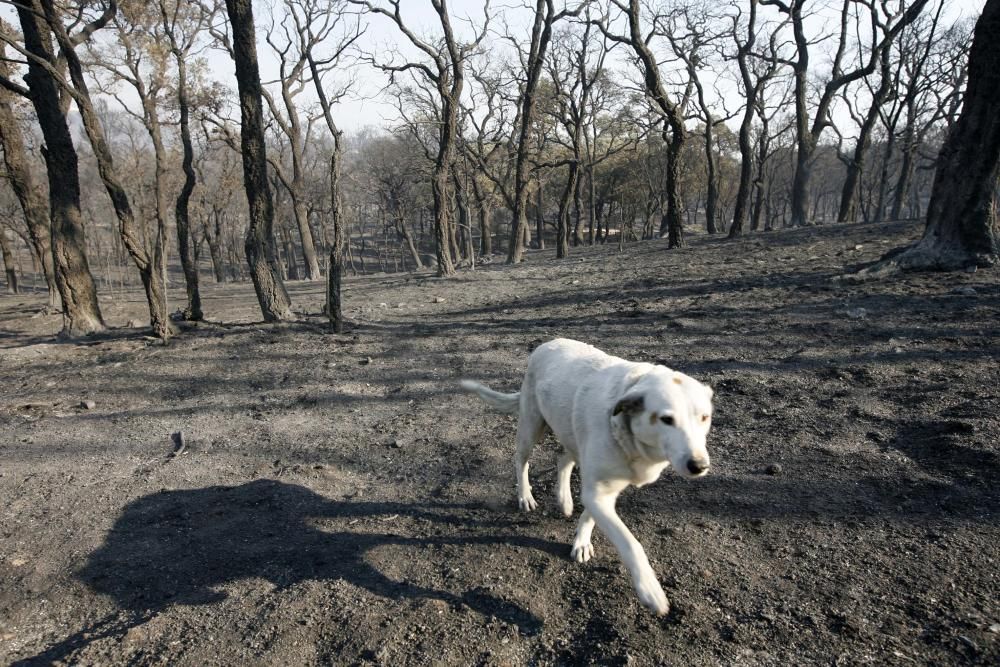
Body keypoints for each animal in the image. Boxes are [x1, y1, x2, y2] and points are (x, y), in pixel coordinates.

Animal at [460, 340, 712, 616]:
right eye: (666, 419)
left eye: (704, 417)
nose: (699, 466)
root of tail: (549, 342)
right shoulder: (597, 491)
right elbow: (630, 543)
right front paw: (650, 589)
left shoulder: (602, 491)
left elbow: (589, 516)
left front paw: (581, 541)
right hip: (531, 427)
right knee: (521, 461)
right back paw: (525, 496)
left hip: (571, 437)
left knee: (563, 460)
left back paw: (564, 500)